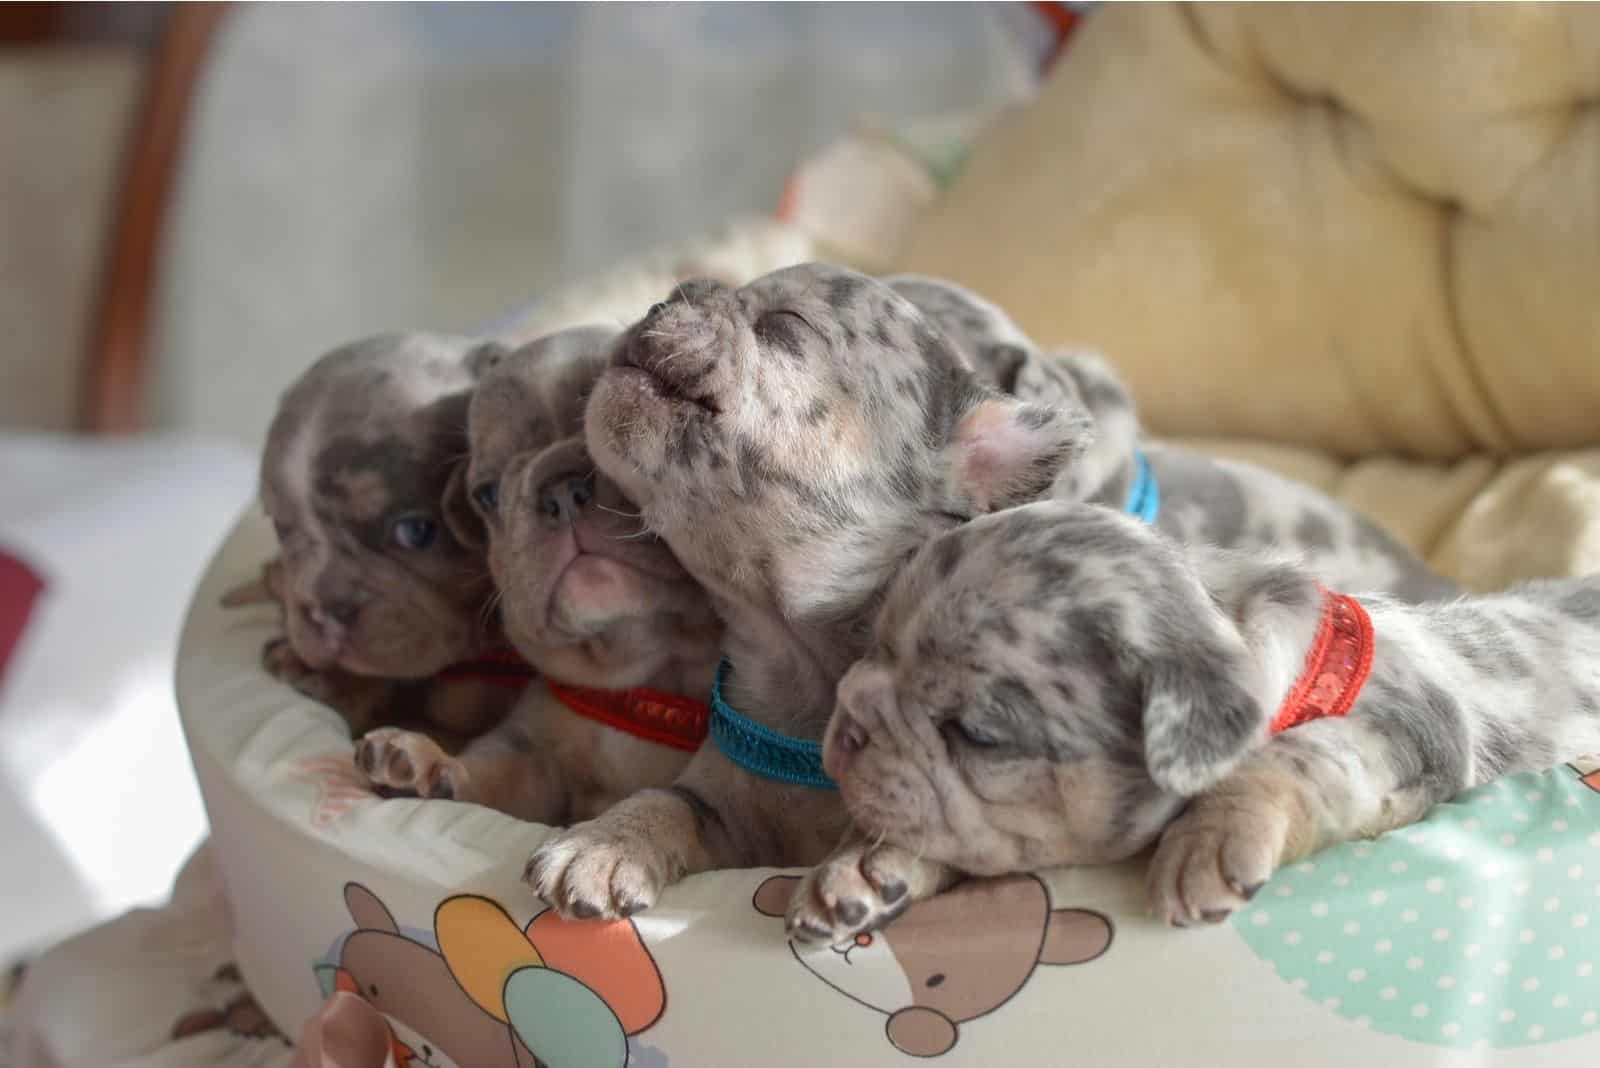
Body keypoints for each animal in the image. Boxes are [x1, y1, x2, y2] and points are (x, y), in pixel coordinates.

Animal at [356, 329, 726, 824]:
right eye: (487, 494)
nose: (560, 489)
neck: (647, 687)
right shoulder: (530, 756)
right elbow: (492, 774)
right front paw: (430, 763)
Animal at [796, 498, 1600, 933]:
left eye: (977, 735)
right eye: (872, 648)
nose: (847, 726)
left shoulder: (1410, 731)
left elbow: (1296, 753)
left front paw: (1210, 841)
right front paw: (864, 863)